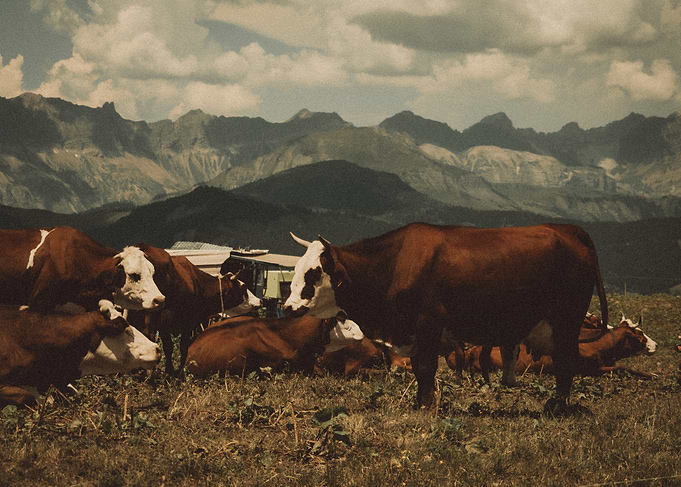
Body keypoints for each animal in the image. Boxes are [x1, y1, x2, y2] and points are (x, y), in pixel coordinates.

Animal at [129, 245, 260, 376]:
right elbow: (181, 346)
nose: (260, 300)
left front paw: (170, 371)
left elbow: (169, 347)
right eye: (244, 287)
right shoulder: (182, 322)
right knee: (148, 334)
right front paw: (179, 371)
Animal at [283, 223, 608, 415]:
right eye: (296, 268)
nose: (287, 307)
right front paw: (422, 402)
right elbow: (419, 366)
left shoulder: (429, 321)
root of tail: (567, 228)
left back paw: (557, 406)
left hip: (567, 319)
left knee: (566, 360)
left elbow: (425, 366)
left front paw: (427, 405)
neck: (395, 263)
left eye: (313, 273)